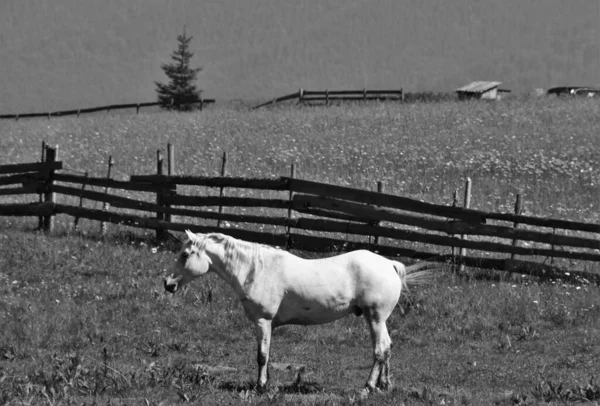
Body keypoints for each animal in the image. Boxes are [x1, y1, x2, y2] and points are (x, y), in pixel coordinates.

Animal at [164, 230, 436, 392]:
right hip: (376, 319)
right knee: (387, 347)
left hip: (376, 318)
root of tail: (389, 264)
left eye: (185, 254)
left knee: (380, 351)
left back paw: (368, 387)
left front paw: (261, 386)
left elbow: (262, 356)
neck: (254, 269)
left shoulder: (263, 321)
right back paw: (384, 384)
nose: (167, 283)